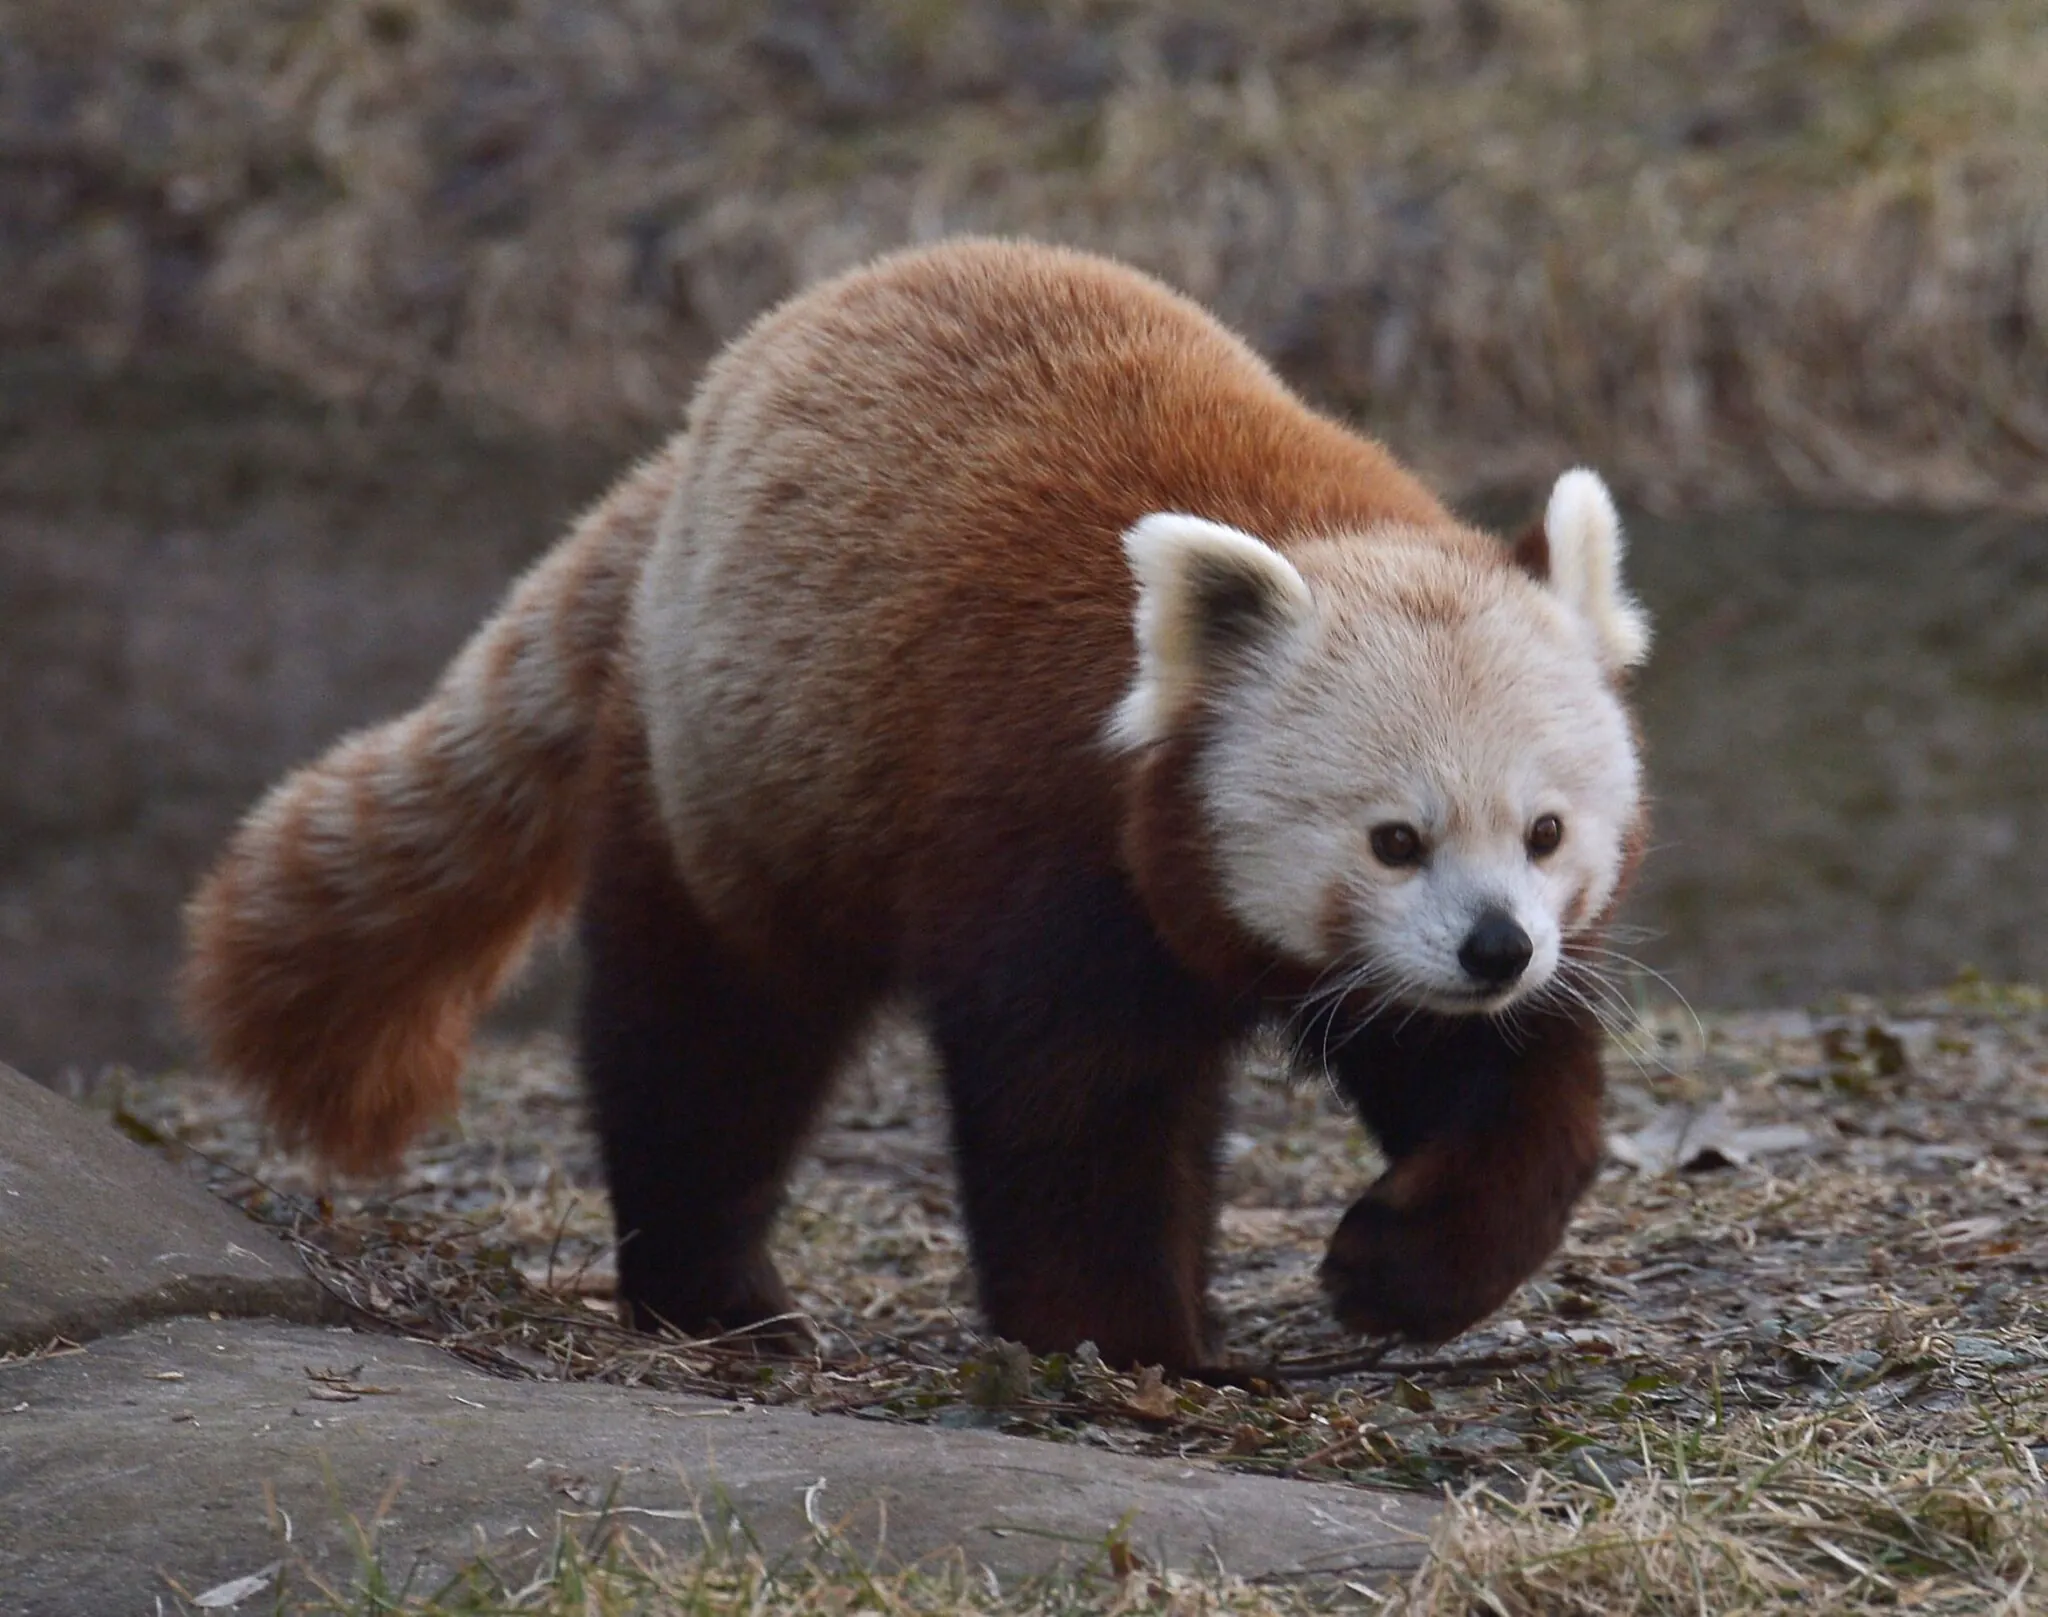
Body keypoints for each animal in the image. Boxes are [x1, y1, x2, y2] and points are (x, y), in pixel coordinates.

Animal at [188, 240, 1646, 1375]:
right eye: (1393, 841)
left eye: (1544, 833)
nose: (1495, 948)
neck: (1306, 522)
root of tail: (695, 436)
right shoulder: (1035, 829)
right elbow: (1068, 1112)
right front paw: (1125, 1345)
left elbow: (1500, 1084)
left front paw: (1400, 1263)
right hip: (733, 777)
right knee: (707, 1046)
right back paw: (713, 1297)